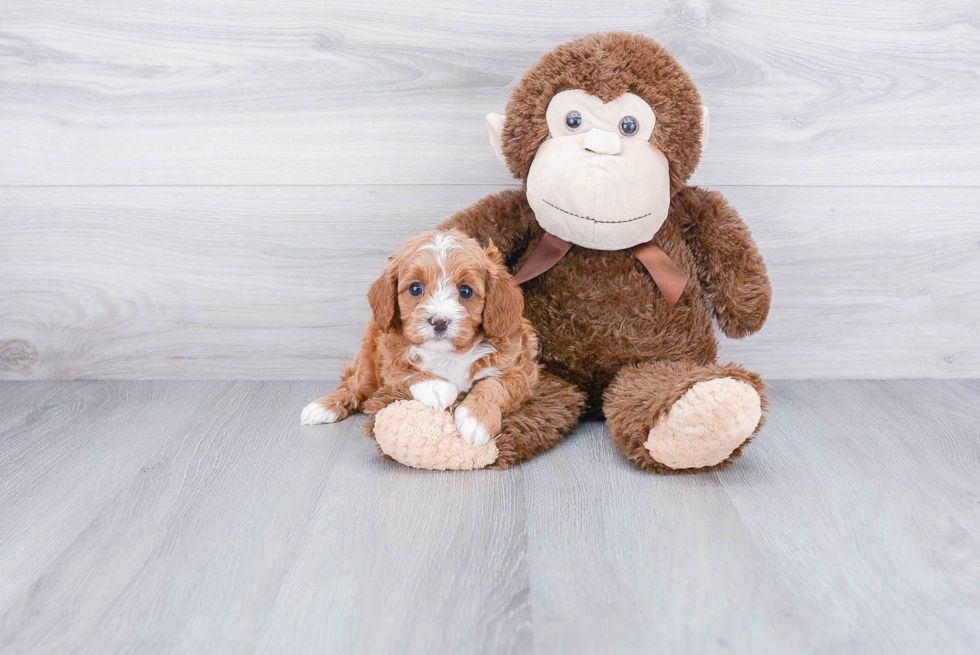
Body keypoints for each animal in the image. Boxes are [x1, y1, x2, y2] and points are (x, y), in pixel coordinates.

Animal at [302, 227, 540, 446]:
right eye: (416, 288)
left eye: (465, 291)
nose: (440, 321)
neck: (447, 354)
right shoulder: (388, 352)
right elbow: (403, 369)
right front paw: (434, 385)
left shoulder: (520, 368)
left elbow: (495, 384)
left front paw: (476, 418)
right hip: (368, 367)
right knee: (353, 385)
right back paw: (323, 406)